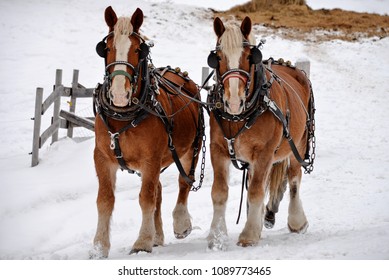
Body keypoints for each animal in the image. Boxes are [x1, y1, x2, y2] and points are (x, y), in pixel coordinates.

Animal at [90, 6, 203, 258]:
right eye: (107, 48)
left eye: (138, 50)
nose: (119, 94)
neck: (124, 114)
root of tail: (180, 74)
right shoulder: (102, 157)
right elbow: (105, 200)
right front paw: (99, 247)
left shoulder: (150, 159)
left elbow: (146, 198)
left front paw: (142, 242)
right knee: (159, 190)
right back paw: (158, 236)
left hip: (191, 148)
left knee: (184, 182)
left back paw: (180, 223)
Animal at [205, 17, 314, 249]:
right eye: (217, 58)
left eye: (249, 56)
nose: (233, 101)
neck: (241, 114)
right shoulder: (218, 149)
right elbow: (219, 192)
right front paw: (216, 236)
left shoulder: (264, 153)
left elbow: (256, 191)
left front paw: (249, 235)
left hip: (298, 144)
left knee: (294, 179)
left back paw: (297, 221)